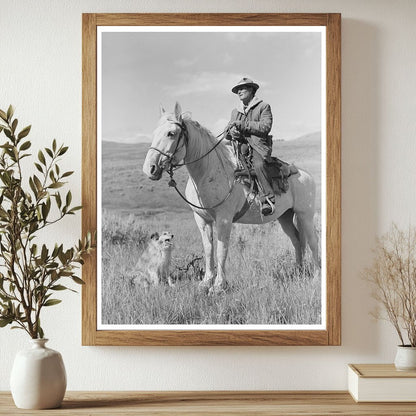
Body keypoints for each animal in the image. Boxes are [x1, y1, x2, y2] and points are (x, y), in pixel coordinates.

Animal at [144, 103, 322, 292]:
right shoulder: (202, 219)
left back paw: (316, 277)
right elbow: (208, 249)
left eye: (171, 133)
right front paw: (206, 282)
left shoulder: (224, 218)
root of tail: (304, 174)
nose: (150, 168)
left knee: (313, 241)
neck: (208, 172)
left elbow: (221, 250)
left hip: (305, 215)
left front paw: (219, 286)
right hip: (285, 217)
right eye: (155, 132)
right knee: (297, 240)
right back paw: (299, 271)